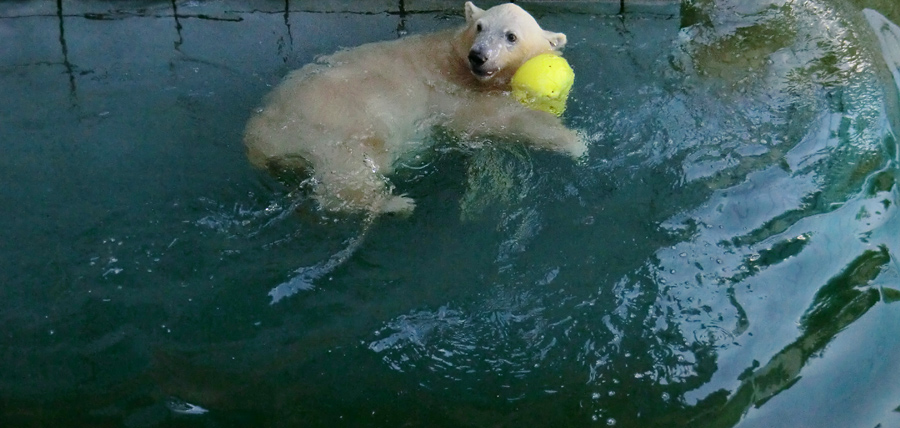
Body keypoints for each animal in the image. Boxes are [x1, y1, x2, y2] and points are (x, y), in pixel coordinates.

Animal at [244, 0, 584, 214]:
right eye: (479, 26)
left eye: (510, 36)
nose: (479, 55)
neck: (455, 60)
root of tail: (258, 140)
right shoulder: (454, 94)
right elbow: (502, 119)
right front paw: (577, 143)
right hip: (328, 128)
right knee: (347, 175)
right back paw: (395, 205)